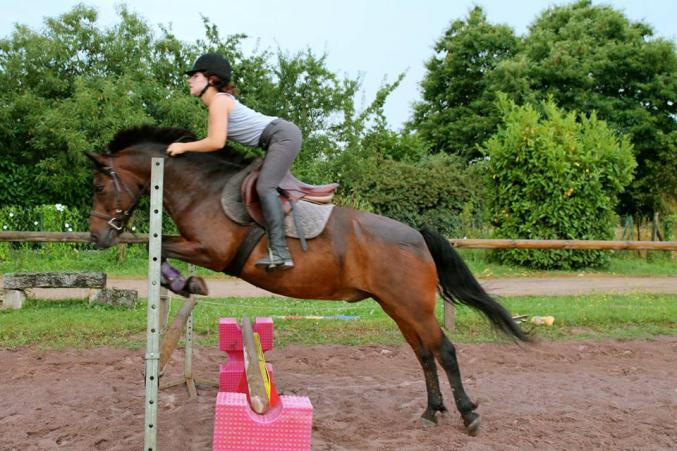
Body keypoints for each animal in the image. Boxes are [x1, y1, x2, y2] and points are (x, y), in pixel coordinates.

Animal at [86, 125, 528, 436]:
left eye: (99, 186)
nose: (96, 237)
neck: (202, 189)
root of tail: (418, 236)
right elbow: (157, 249)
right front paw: (186, 284)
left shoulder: (212, 252)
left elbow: (157, 247)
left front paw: (189, 285)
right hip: (397, 306)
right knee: (423, 353)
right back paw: (431, 412)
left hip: (414, 306)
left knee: (445, 351)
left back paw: (468, 415)